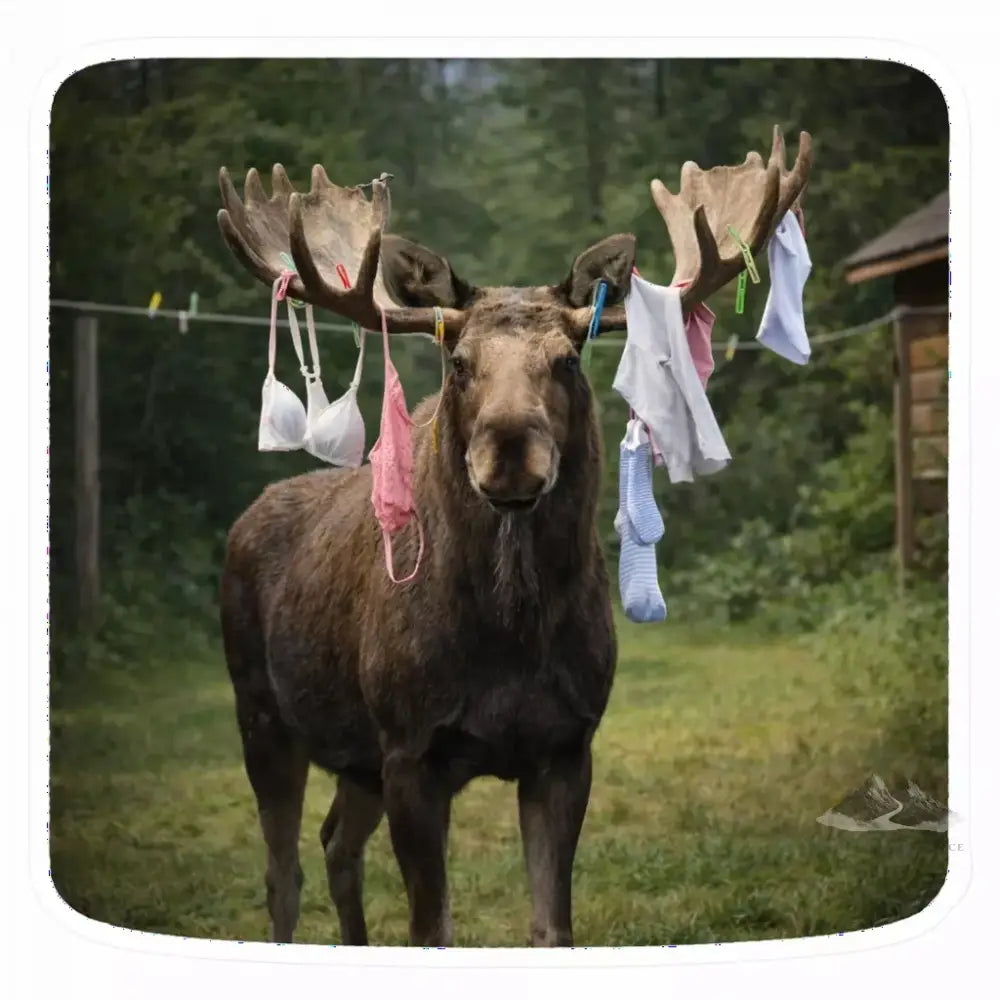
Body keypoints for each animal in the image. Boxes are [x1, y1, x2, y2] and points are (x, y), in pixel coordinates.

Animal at [215, 125, 811, 948]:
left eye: (565, 360)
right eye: (459, 361)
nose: (509, 449)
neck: (510, 636)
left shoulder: (566, 745)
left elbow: (552, 926)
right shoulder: (411, 748)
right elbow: (431, 927)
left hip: (355, 755)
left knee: (336, 843)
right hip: (262, 712)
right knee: (284, 872)